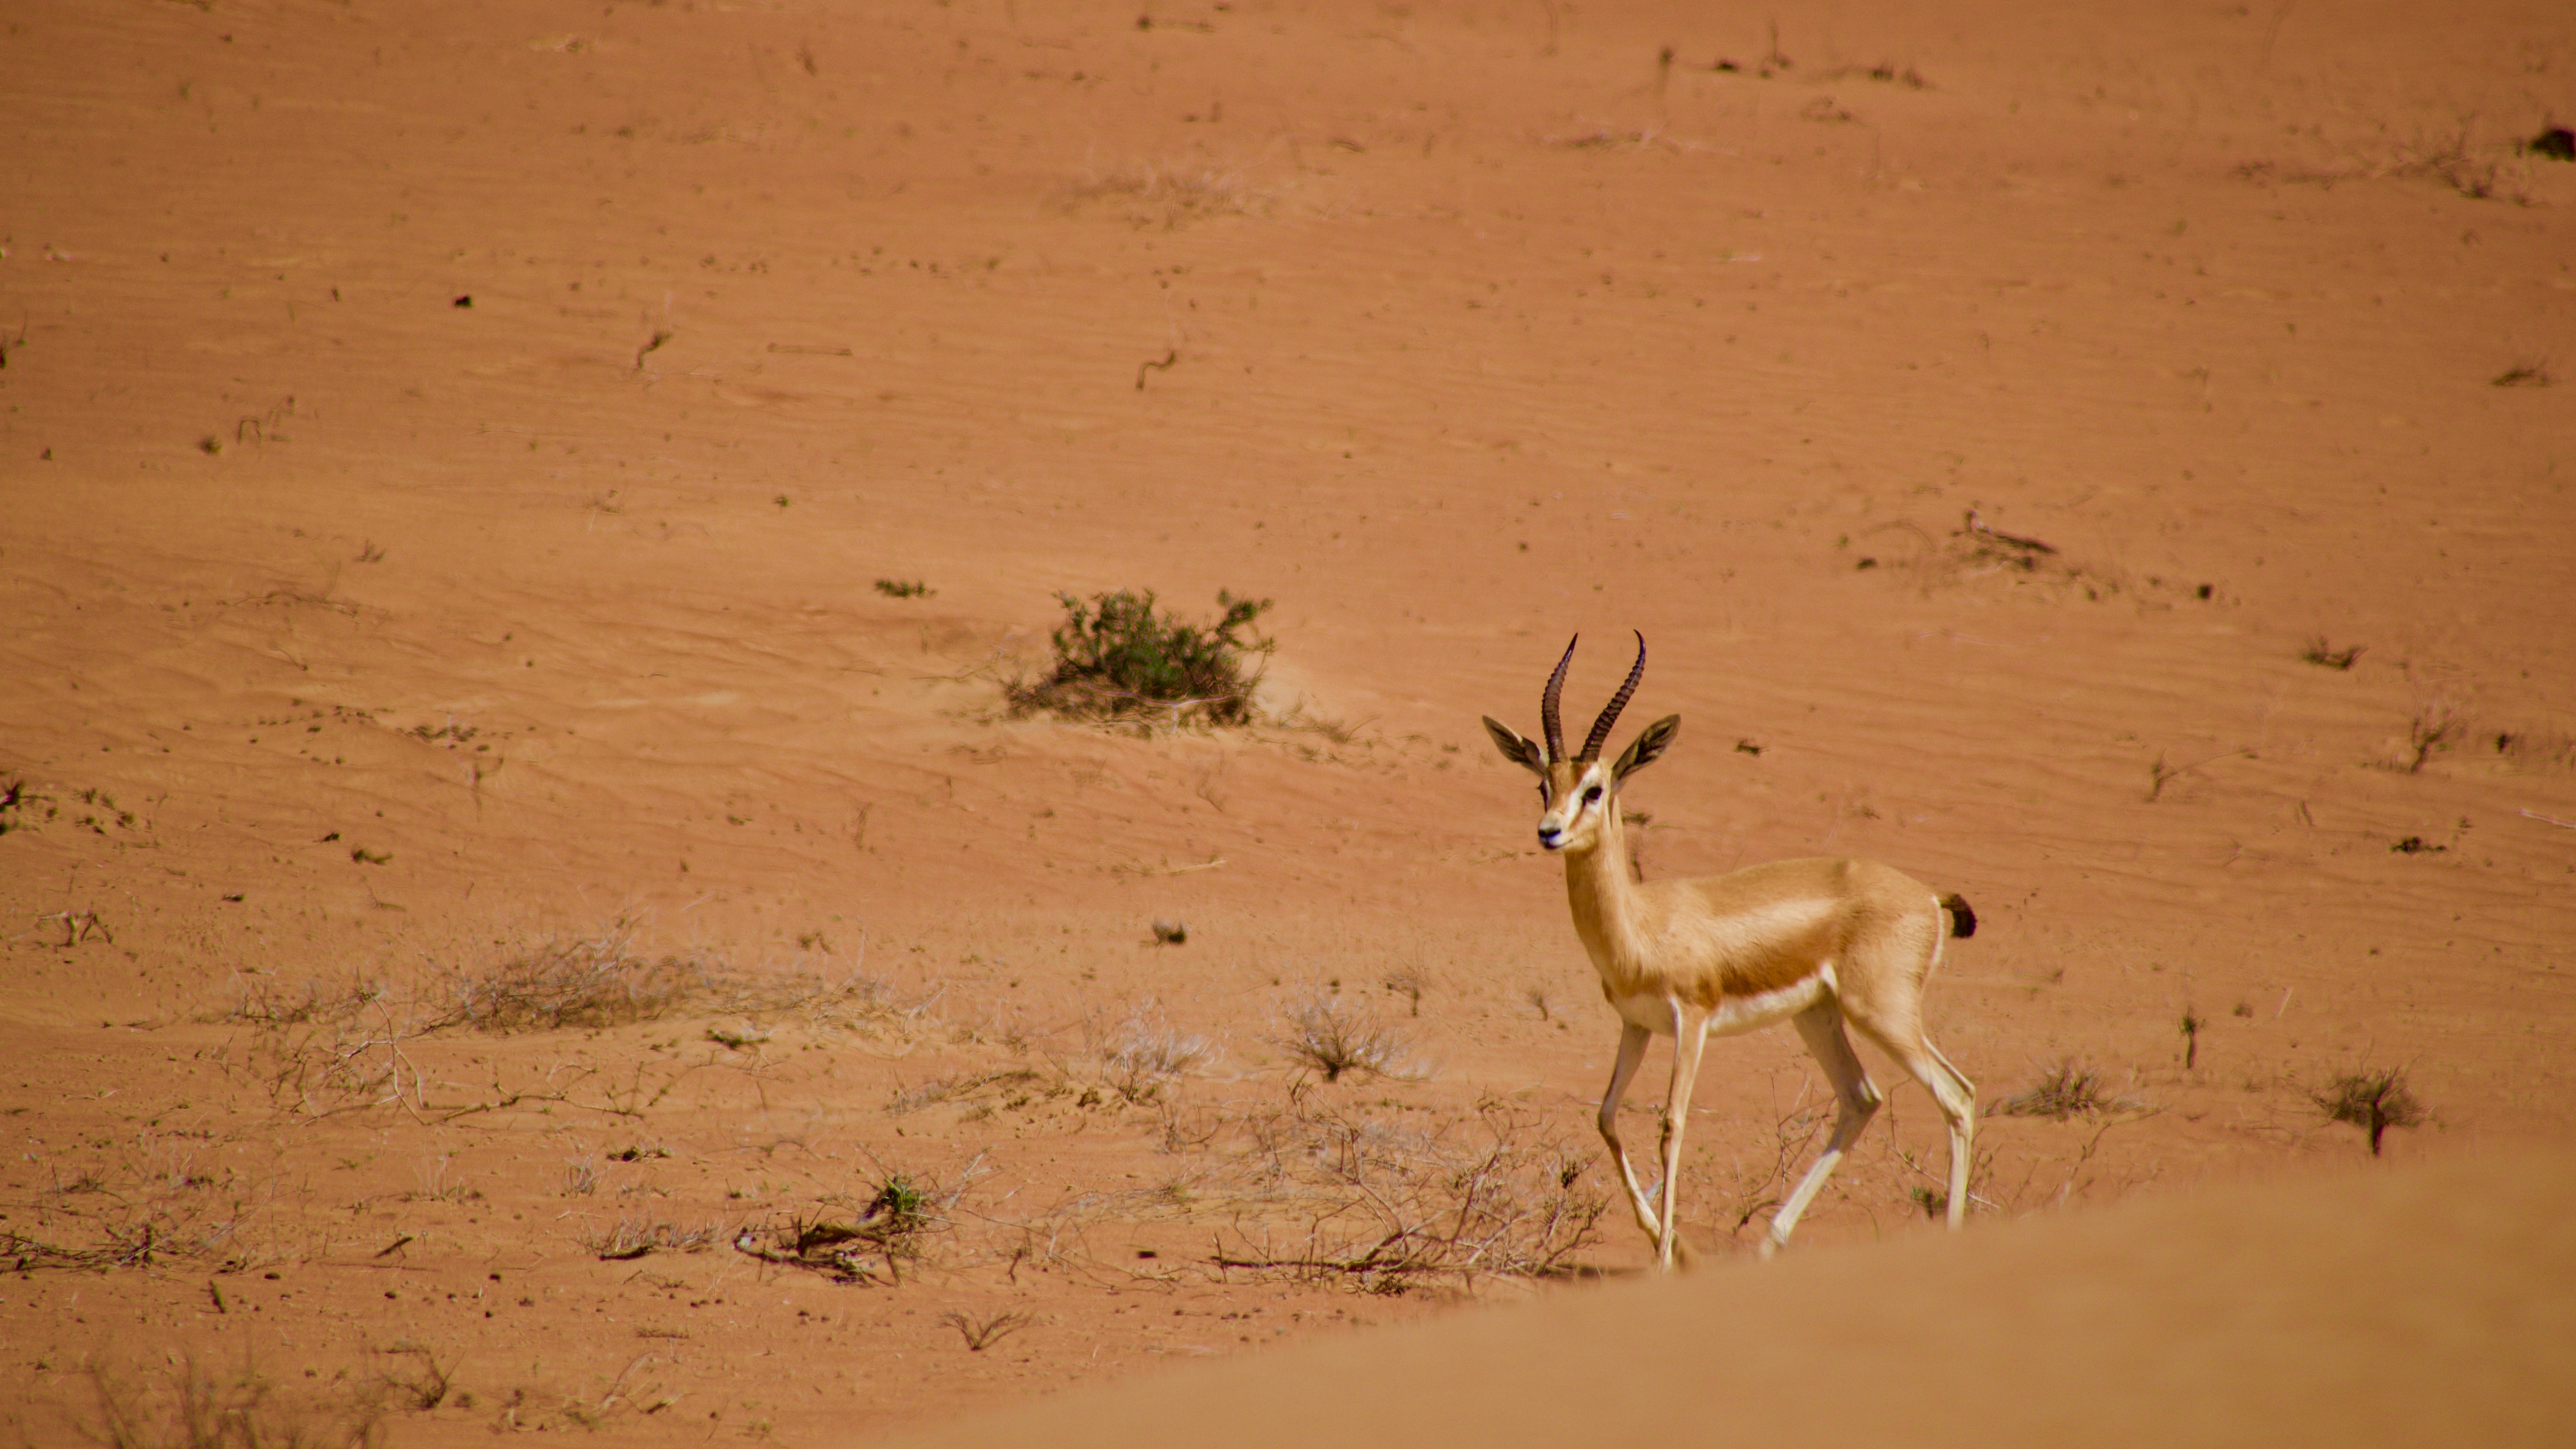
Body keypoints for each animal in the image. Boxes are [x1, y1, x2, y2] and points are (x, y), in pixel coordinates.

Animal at [1481, 633, 1979, 1269]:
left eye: (1594, 789)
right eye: (1543, 786)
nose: (1548, 832)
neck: (1641, 922)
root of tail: (1927, 897)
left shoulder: (1690, 1022)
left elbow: (1672, 1125)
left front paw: (1666, 1259)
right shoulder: (1635, 1025)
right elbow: (1607, 1116)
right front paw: (1678, 1248)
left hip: (1882, 1015)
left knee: (1957, 1097)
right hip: (1817, 1017)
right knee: (1860, 1099)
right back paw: (1769, 1243)